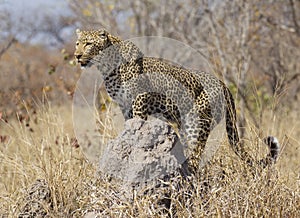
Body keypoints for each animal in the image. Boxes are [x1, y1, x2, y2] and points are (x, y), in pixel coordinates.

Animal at [74, 28, 278, 172]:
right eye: (77, 43)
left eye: (88, 44)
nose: (77, 56)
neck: (107, 67)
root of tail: (223, 83)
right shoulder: (125, 105)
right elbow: (130, 124)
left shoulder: (140, 98)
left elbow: (139, 121)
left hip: (197, 123)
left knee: (196, 155)